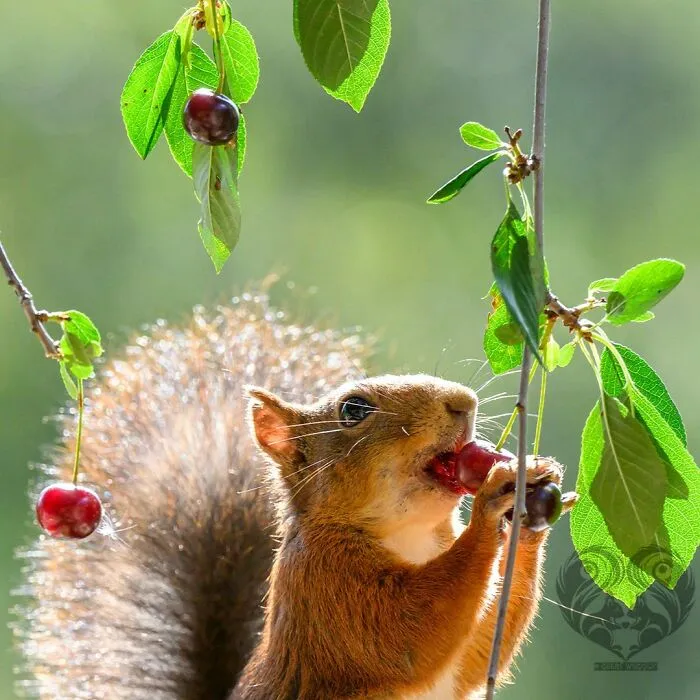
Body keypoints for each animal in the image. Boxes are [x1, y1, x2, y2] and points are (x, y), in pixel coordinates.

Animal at [13, 293, 571, 700]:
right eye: (353, 410)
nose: (464, 401)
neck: (407, 535)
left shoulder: (455, 662)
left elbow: (477, 654)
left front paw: (533, 504)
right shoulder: (326, 587)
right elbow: (407, 633)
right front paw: (493, 502)